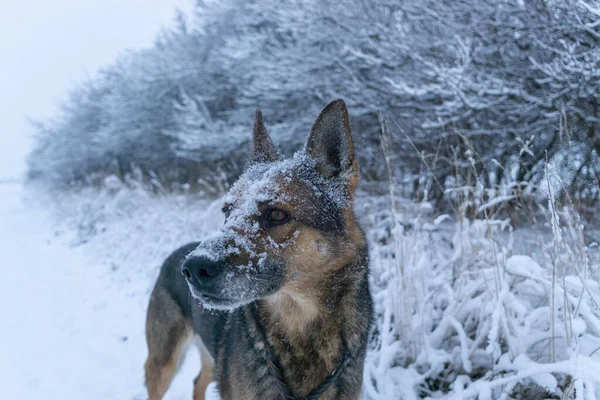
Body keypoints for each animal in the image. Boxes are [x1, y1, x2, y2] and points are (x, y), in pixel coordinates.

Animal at [144, 98, 372, 398]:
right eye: (227, 211)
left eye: (276, 214)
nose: (193, 268)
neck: (300, 328)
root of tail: (176, 253)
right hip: (163, 364)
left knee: (198, 381)